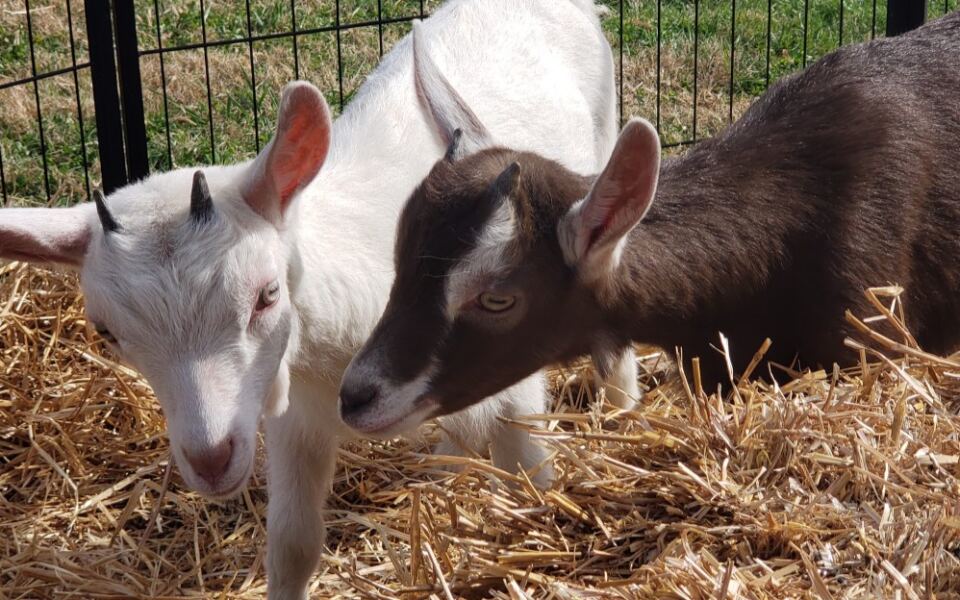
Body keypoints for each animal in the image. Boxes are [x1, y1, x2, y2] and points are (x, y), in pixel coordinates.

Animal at [0, 1, 625, 597]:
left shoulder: (515, 380)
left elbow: (532, 488)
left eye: (266, 295)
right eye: (107, 332)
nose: (210, 460)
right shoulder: (293, 415)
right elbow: (294, 541)